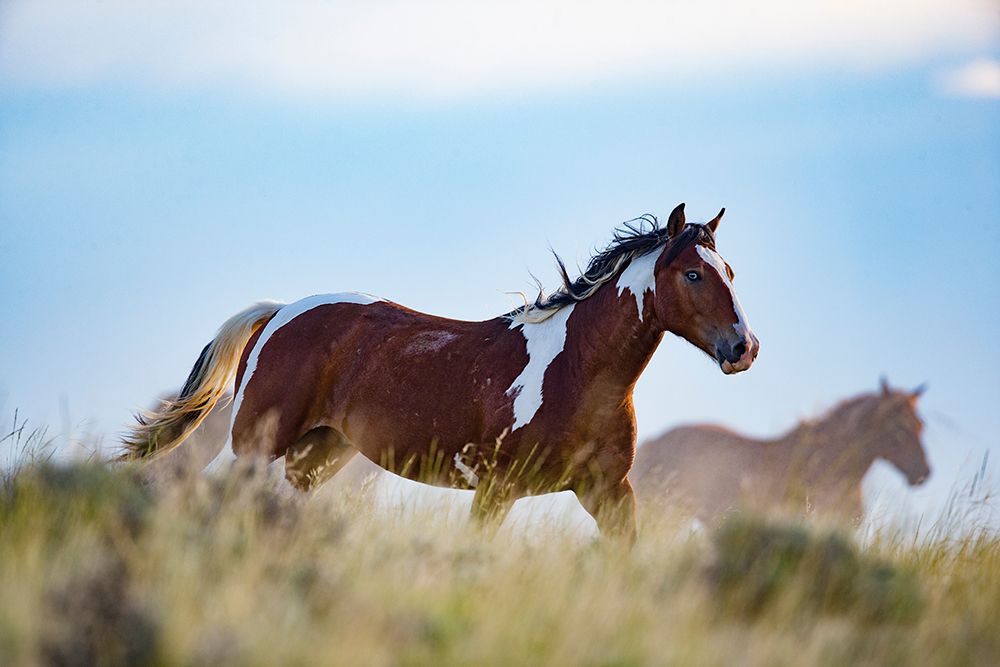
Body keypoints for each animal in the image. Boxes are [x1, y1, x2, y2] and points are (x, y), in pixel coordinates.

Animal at [123, 203, 760, 542]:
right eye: (694, 275)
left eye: (729, 270)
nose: (743, 348)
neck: (576, 371)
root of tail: (280, 312)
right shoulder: (498, 491)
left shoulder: (609, 492)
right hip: (256, 441)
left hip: (317, 454)